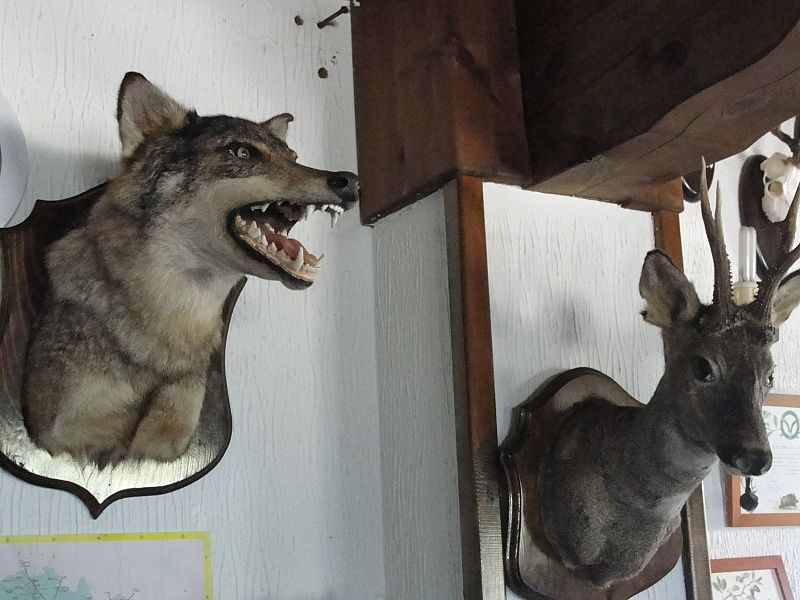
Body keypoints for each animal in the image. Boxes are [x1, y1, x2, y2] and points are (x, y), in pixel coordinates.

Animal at [21, 72, 358, 465]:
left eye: (293, 158)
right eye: (242, 152)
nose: (351, 181)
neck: (177, 319)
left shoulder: (171, 439)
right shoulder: (68, 429)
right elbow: (112, 431)